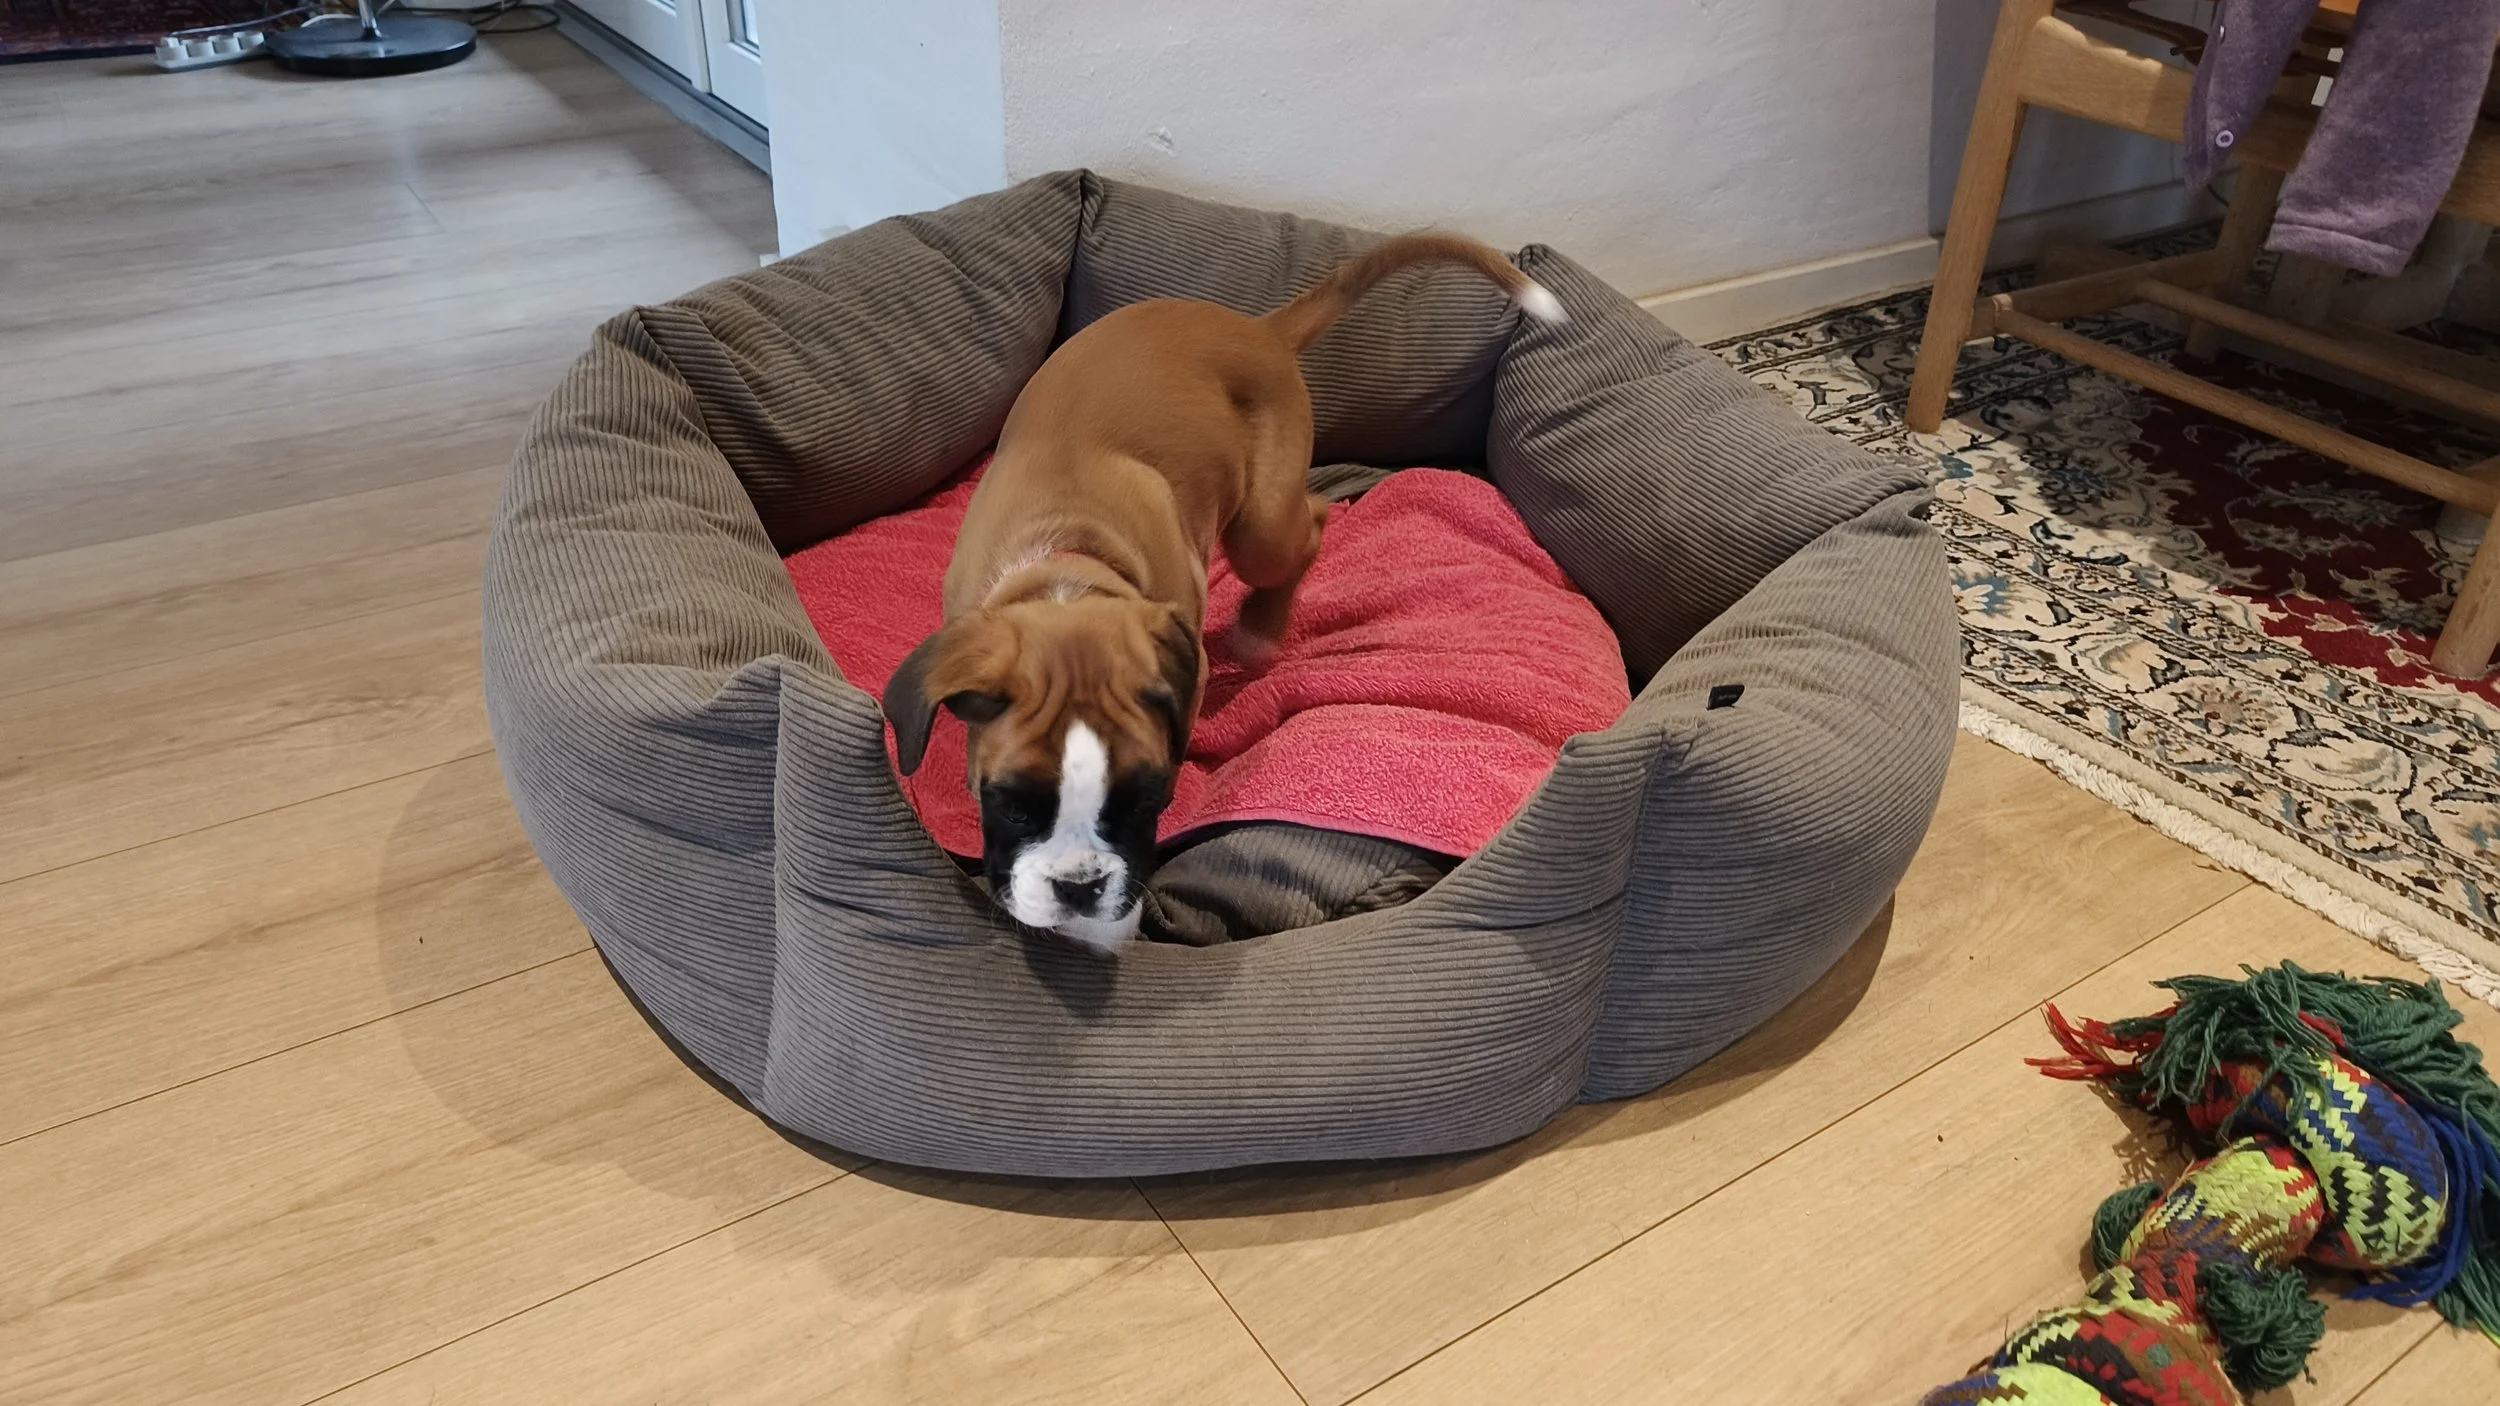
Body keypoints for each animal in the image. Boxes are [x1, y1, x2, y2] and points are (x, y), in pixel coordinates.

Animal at [884, 233, 1565, 952]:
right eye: (1010, 806)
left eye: (1147, 800)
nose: (1079, 888)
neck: (1067, 562)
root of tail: (1257, 329)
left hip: (1261, 528)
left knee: (1311, 524)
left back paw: (1263, 625)